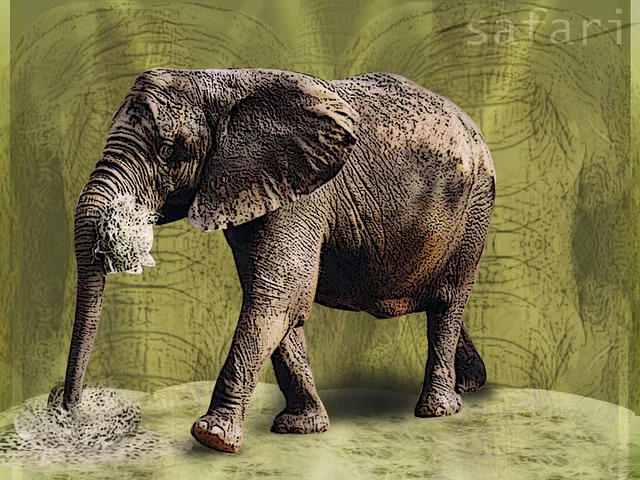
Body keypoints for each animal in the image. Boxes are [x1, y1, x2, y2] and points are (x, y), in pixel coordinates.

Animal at [61, 67, 495, 453]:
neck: (217, 85)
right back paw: (470, 385)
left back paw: (438, 409)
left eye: (169, 152)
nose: (68, 412)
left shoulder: (302, 193)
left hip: (475, 208)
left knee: (447, 301)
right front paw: (302, 428)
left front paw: (212, 438)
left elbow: (277, 295)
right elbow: (278, 301)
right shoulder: (249, 190)